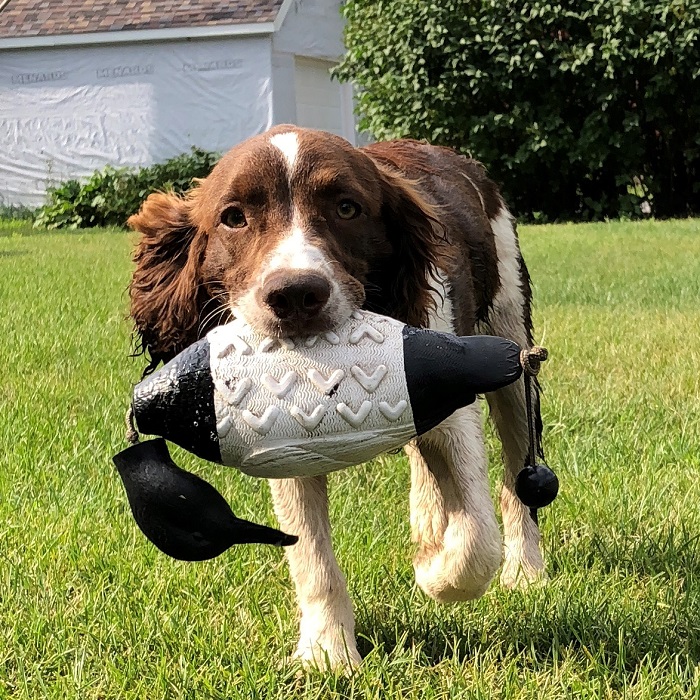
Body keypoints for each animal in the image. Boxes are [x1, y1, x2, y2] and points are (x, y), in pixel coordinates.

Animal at [129, 123, 548, 668]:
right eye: (233, 217)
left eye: (347, 208)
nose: (294, 295)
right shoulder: (279, 440)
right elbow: (312, 555)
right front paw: (327, 653)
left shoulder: (452, 392)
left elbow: (476, 541)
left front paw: (434, 573)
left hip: (511, 343)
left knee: (516, 470)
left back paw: (525, 570)